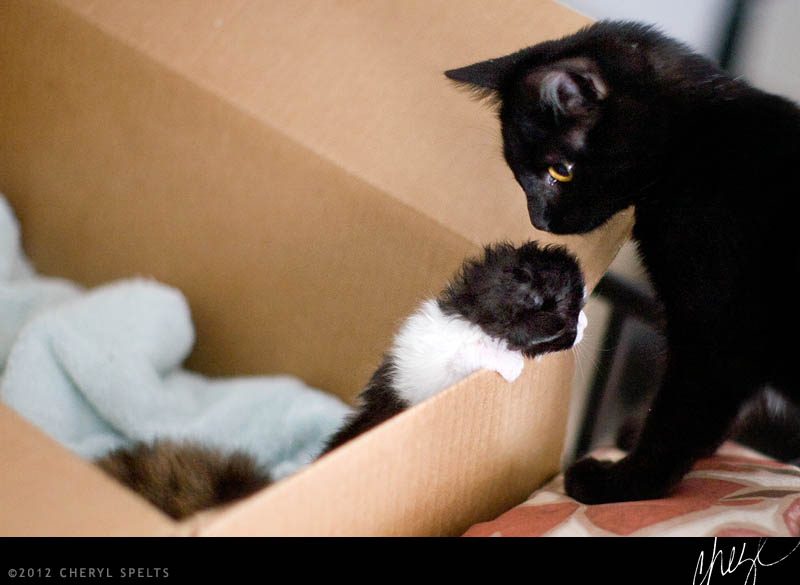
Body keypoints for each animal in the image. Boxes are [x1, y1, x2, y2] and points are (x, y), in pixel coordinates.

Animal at [320, 241, 588, 452]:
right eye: (572, 313)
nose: (585, 324)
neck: (477, 317)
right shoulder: (444, 365)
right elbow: (468, 352)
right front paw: (510, 363)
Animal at [446, 20, 800, 504]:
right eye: (517, 173)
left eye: (560, 172)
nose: (538, 220)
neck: (694, 141)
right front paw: (635, 438)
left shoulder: (719, 332)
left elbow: (679, 419)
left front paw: (620, 483)